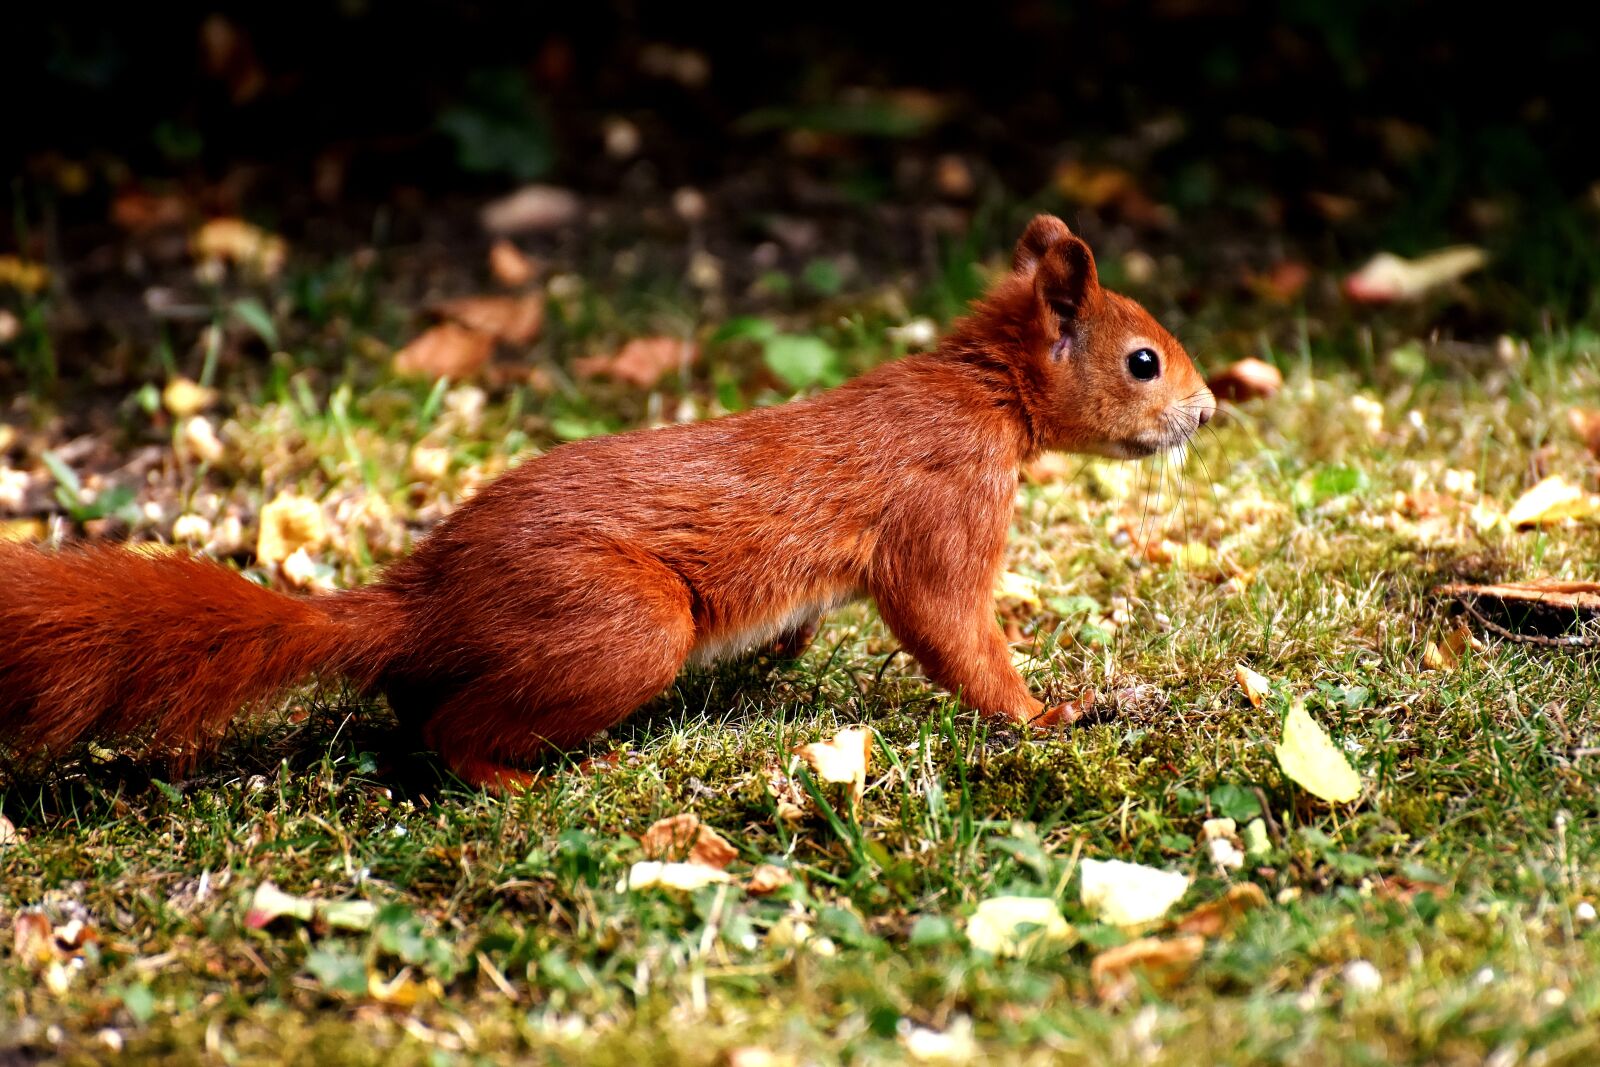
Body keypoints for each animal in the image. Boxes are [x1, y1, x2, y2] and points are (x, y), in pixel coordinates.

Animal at [0, 215, 1215, 791]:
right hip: (626, 625)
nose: (1207, 412)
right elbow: (954, 629)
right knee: (451, 732)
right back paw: (530, 777)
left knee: (413, 710)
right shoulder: (945, 503)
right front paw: (1051, 712)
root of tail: (421, 602)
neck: (983, 392)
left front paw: (780, 661)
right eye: (1144, 360)